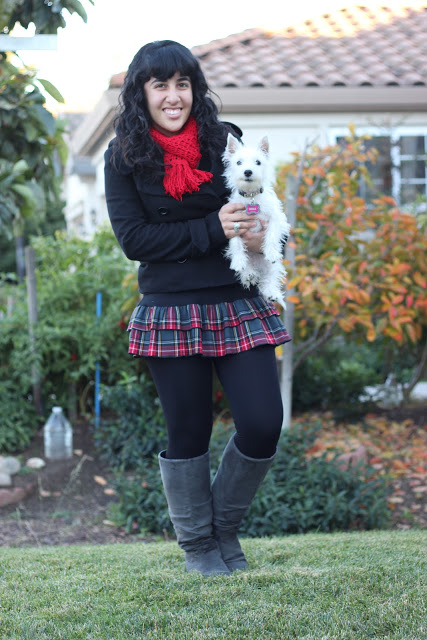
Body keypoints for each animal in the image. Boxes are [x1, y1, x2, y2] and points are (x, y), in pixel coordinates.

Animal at [224, 134, 290, 306]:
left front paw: (271, 252)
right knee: (250, 270)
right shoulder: (232, 222)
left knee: (271, 276)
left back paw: (272, 292)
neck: (251, 197)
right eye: (238, 162)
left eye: (258, 162)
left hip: (272, 267)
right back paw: (248, 273)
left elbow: (272, 236)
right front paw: (239, 261)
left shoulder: (276, 218)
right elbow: (236, 244)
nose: (248, 171)